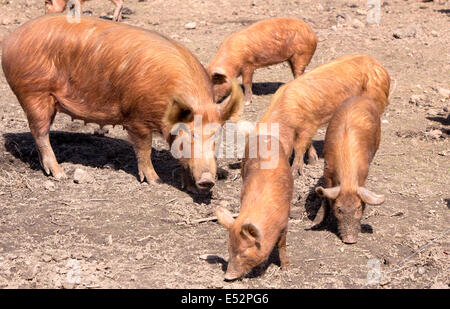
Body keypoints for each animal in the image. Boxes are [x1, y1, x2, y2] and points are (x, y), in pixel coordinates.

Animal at [1, 15, 244, 191]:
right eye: (190, 136)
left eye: (216, 137)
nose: (207, 181)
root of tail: (12, 38)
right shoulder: (136, 118)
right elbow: (144, 149)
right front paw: (155, 181)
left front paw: (189, 188)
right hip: (34, 94)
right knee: (40, 133)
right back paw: (60, 175)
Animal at [216, 132, 294, 280]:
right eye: (229, 249)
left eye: (244, 250)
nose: (227, 277)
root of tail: (262, 135)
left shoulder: (284, 223)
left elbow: (282, 246)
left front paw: (286, 269)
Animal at [260, 53, 390, 176]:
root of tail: (380, 67)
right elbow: (308, 143)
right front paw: (313, 161)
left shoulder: (309, 124)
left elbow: (299, 148)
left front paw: (295, 173)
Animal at [314, 96, 384, 243]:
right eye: (339, 209)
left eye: (358, 208)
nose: (350, 240)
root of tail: (361, 97)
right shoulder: (327, 169)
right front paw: (315, 223)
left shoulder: (363, 174)